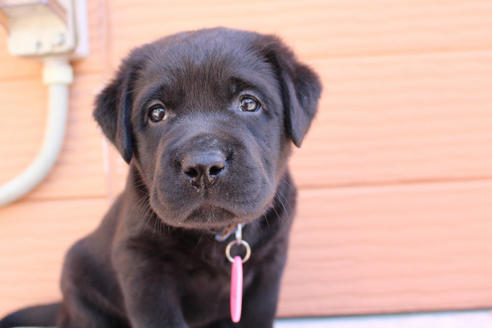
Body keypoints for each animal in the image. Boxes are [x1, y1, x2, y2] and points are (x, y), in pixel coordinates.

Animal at [0, 26, 320, 326]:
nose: (203, 166)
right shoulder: (143, 267)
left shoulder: (267, 271)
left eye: (249, 103)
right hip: (81, 287)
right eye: (157, 113)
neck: (214, 233)